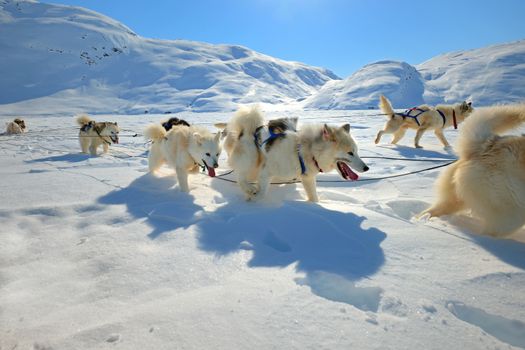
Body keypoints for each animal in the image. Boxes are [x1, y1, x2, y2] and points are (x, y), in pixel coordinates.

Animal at [221, 105, 368, 201]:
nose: (367, 168)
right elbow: (261, 193)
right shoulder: (266, 171)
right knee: (240, 177)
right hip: (251, 159)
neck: (304, 152)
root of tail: (246, 131)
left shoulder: (308, 179)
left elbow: (314, 197)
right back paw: (249, 189)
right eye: (350, 153)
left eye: (356, 151)